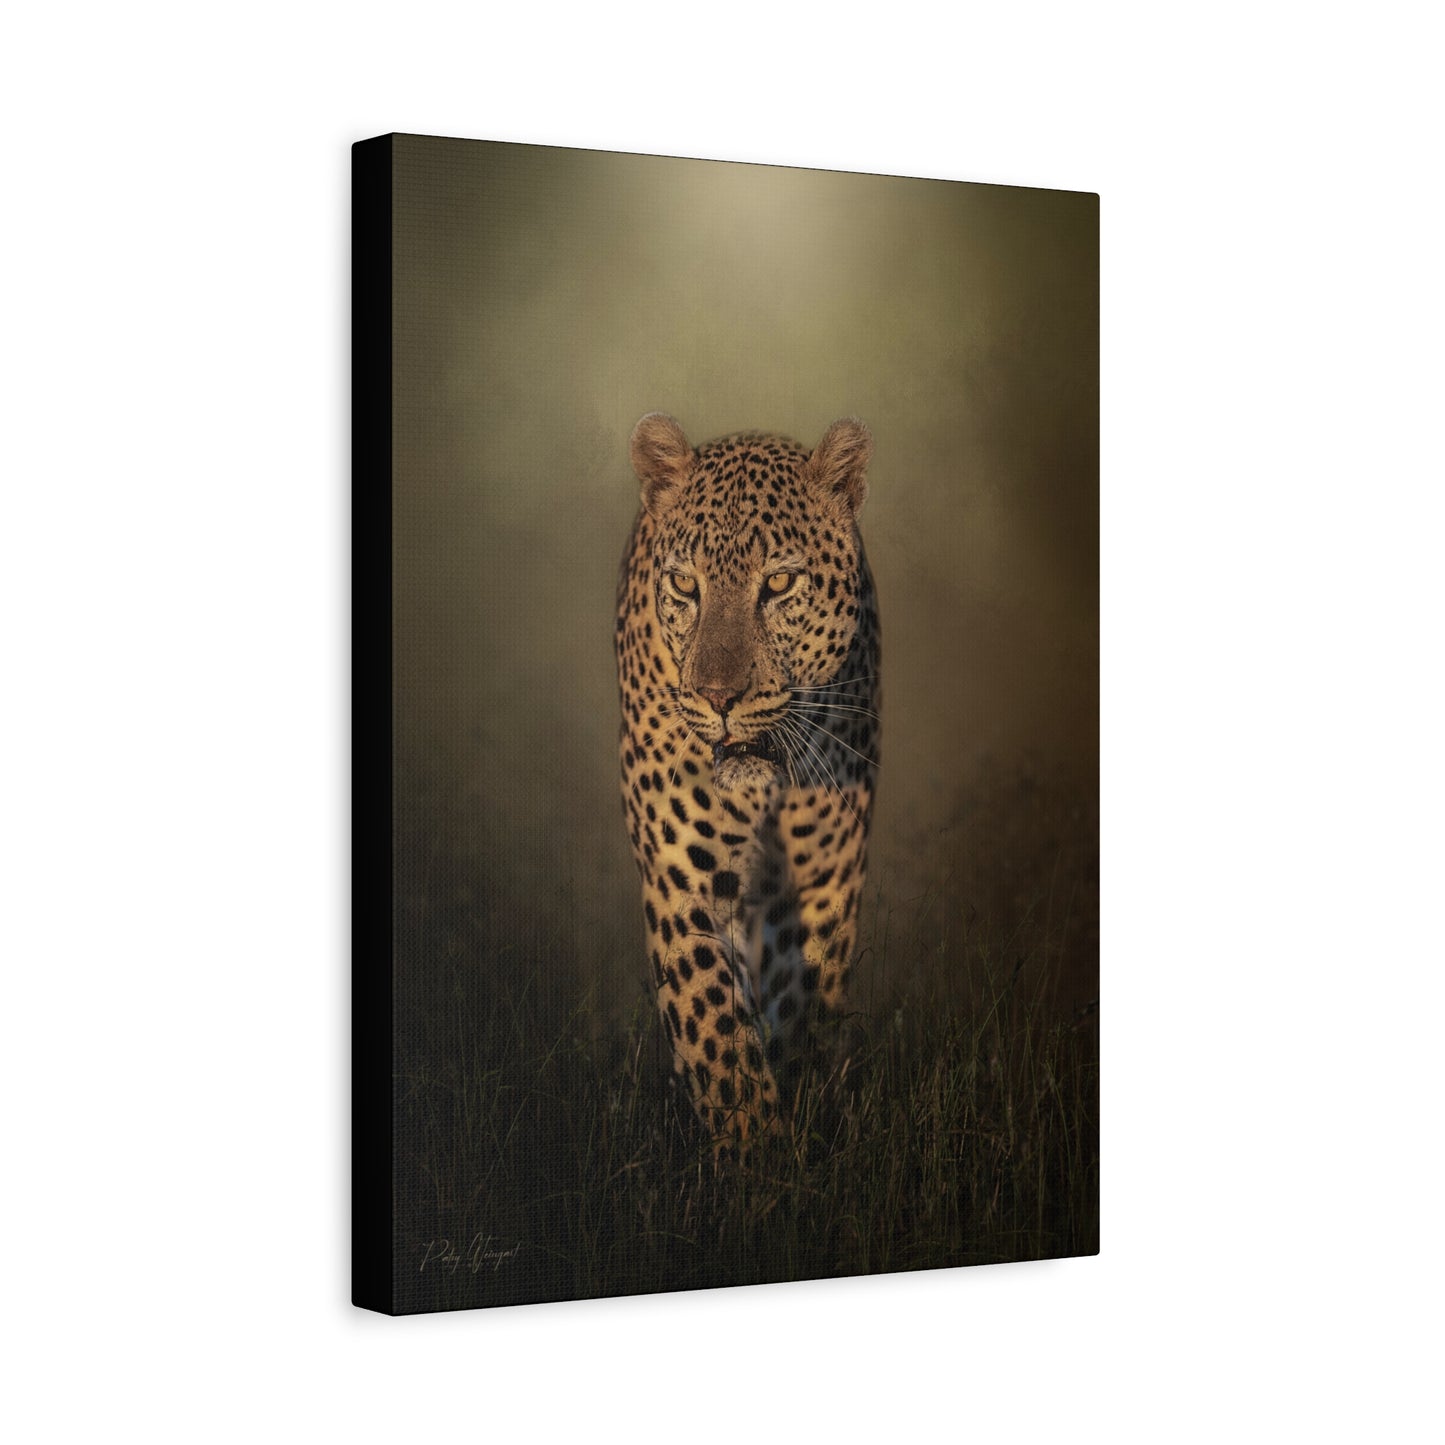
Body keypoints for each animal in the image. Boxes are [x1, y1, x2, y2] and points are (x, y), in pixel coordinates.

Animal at [615, 413, 880, 1158]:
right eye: (685, 587)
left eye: (780, 583)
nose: (718, 697)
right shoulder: (683, 880)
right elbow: (715, 1027)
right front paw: (753, 1152)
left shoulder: (825, 881)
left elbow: (803, 1007)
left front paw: (800, 1133)